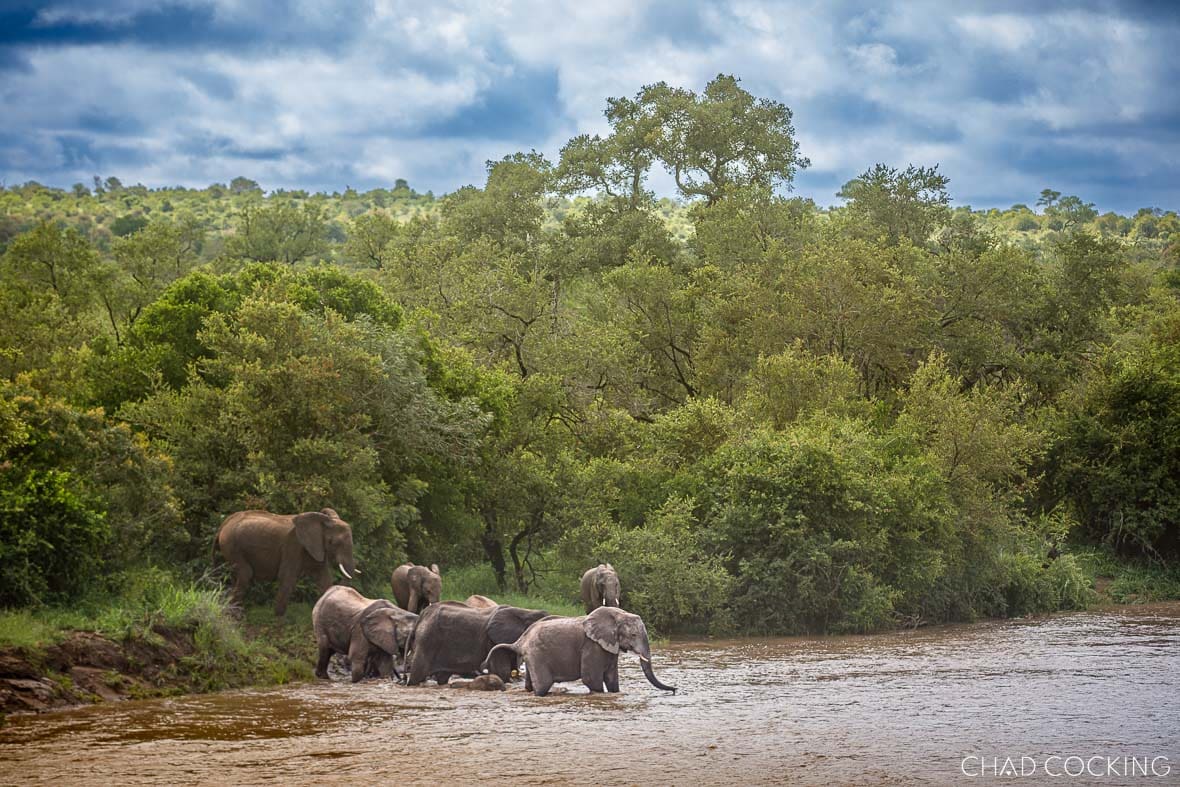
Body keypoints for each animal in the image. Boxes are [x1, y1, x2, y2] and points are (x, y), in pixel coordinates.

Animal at [216, 508, 357, 616]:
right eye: (334, 542)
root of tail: (224, 523)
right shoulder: (293, 545)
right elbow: (287, 577)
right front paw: (279, 618)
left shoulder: (316, 548)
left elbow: (324, 578)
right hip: (231, 545)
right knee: (246, 574)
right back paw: (235, 615)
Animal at [404, 601, 550, 685]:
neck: (525, 611)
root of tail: (420, 619)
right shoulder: (492, 641)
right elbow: (502, 672)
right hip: (427, 640)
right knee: (417, 673)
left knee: (442, 676)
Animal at [484, 606, 676, 697]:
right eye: (634, 634)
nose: (674, 690)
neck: (618, 614)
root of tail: (520, 640)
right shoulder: (591, 646)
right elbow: (591, 678)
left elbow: (611, 678)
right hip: (536, 654)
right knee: (543, 685)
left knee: (530, 686)